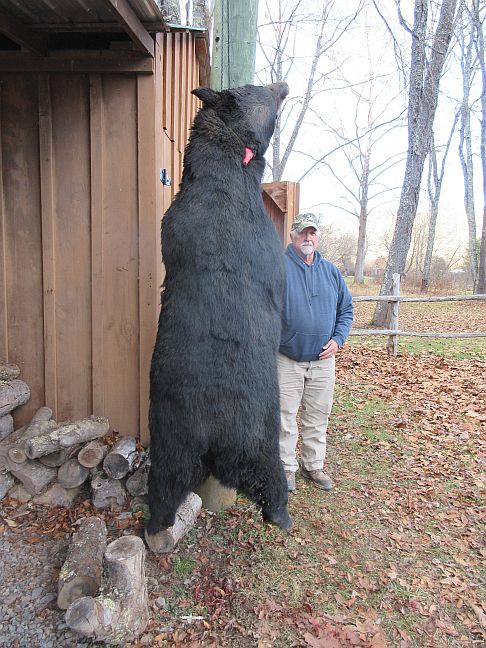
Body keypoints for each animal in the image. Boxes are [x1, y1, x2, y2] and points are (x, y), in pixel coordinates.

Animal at [146, 82, 292, 546]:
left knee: (164, 488)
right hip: (260, 443)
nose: (284, 84)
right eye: (263, 91)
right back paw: (281, 516)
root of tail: (213, 435)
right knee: (272, 483)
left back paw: (155, 527)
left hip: (171, 446)